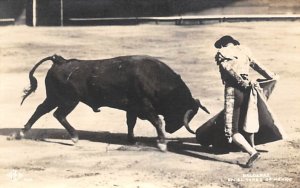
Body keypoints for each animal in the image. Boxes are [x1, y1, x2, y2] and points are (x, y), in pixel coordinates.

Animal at [13, 54, 209, 150]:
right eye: (182, 108)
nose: (172, 129)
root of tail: (60, 61)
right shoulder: (145, 106)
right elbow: (157, 121)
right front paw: (162, 143)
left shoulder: (133, 108)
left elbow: (131, 122)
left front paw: (131, 139)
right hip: (68, 100)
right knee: (58, 114)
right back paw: (74, 137)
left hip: (55, 98)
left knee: (41, 110)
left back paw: (21, 133)